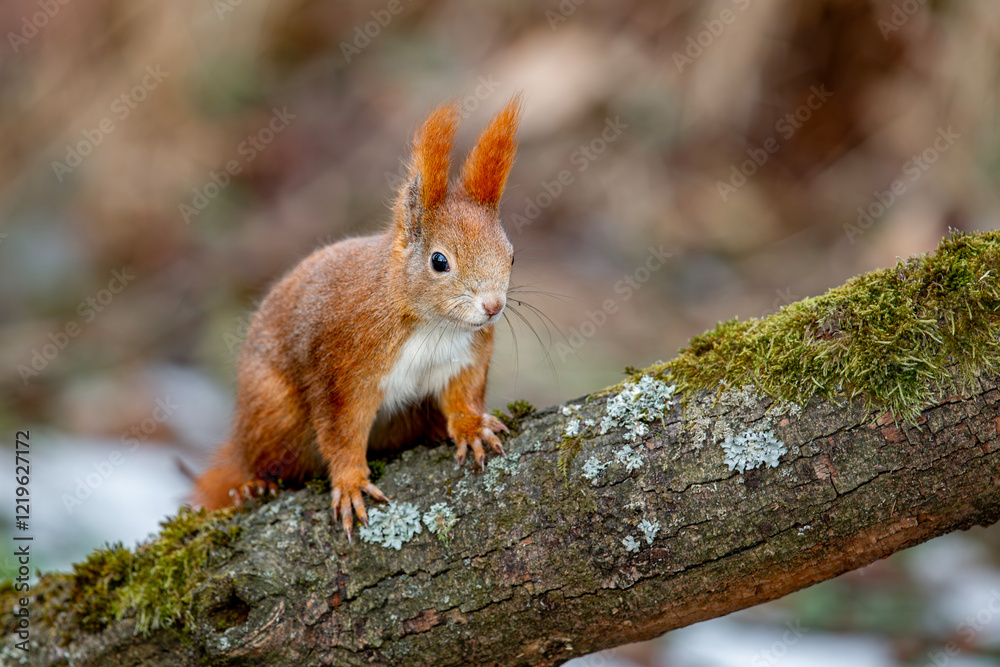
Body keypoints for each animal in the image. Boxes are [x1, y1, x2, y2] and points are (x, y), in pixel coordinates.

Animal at [192, 96, 523, 541]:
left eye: (511, 255)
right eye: (440, 262)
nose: (493, 306)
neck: (428, 323)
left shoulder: (466, 356)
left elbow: (463, 394)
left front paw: (472, 427)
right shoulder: (343, 371)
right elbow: (341, 431)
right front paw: (349, 483)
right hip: (272, 412)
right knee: (259, 456)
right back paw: (253, 484)